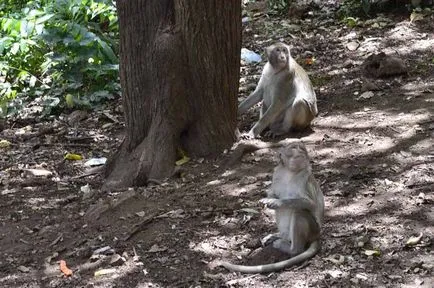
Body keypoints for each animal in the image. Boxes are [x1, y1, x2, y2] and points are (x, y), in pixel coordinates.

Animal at [219, 143, 324, 274]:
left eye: (302, 148)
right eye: (294, 147)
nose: (301, 150)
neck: (290, 172)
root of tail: (317, 235)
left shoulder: (304, 177)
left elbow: (310, 204)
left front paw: (277, 202)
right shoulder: (277, 173)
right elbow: (273, 192)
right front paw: (269, 199)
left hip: (313, 229)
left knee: (299, 212)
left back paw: (292, 249)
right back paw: (279, 236)